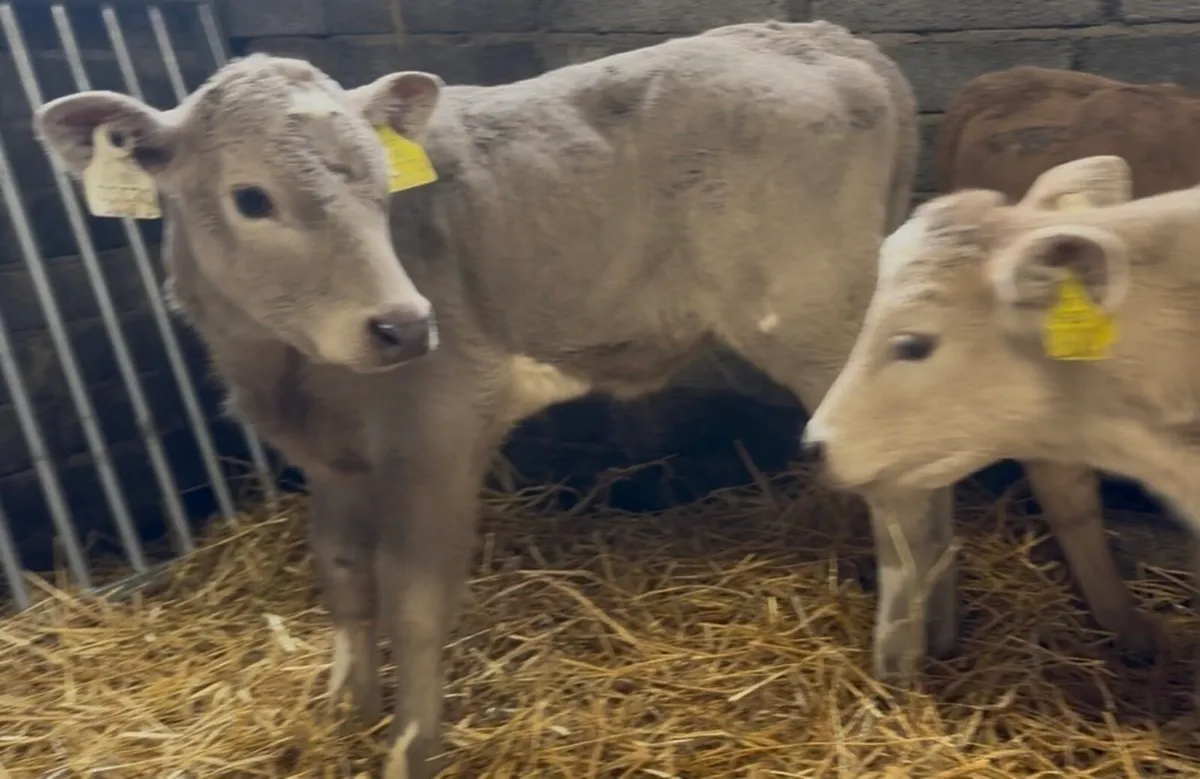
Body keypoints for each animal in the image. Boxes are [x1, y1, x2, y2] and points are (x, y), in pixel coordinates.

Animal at [30, 20, 1103, 777]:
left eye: (381, 187)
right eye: (251, 197)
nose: (403, 326)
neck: (290, 369)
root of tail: (823, 39)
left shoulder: (443, 423)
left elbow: (416, 598)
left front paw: (408, 749)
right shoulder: (326, 456)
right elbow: (342, 580)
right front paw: (344, 711)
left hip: (823, 324)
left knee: (906, 504)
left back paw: (896, 666)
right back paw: (944, 636)